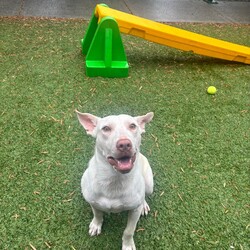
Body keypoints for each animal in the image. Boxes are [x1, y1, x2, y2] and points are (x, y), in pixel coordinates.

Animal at [76, 111, 153, 250]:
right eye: (106, 128)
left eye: (132, 126)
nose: (124, 144)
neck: (114, 179)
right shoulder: (93, 202)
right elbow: (97, 214)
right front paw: (96, 225)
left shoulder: (134, 211)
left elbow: (129, 230)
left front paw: (127, 245)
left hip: (149, 184)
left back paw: (144, 204)